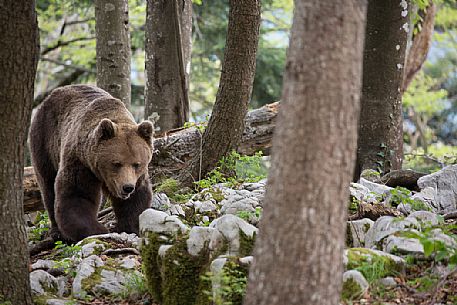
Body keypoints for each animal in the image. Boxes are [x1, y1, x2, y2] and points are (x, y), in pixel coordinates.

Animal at [29, 84, 153, 241]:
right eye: (116, 163)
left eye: (137, 164)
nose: (127, 187)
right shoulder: (80, 162)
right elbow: (77, 196)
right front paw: (99, 230)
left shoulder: (136, 177)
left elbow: (136, 199)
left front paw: (129, 226)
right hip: (44, 141)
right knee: (48, 185)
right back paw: (57, 232)